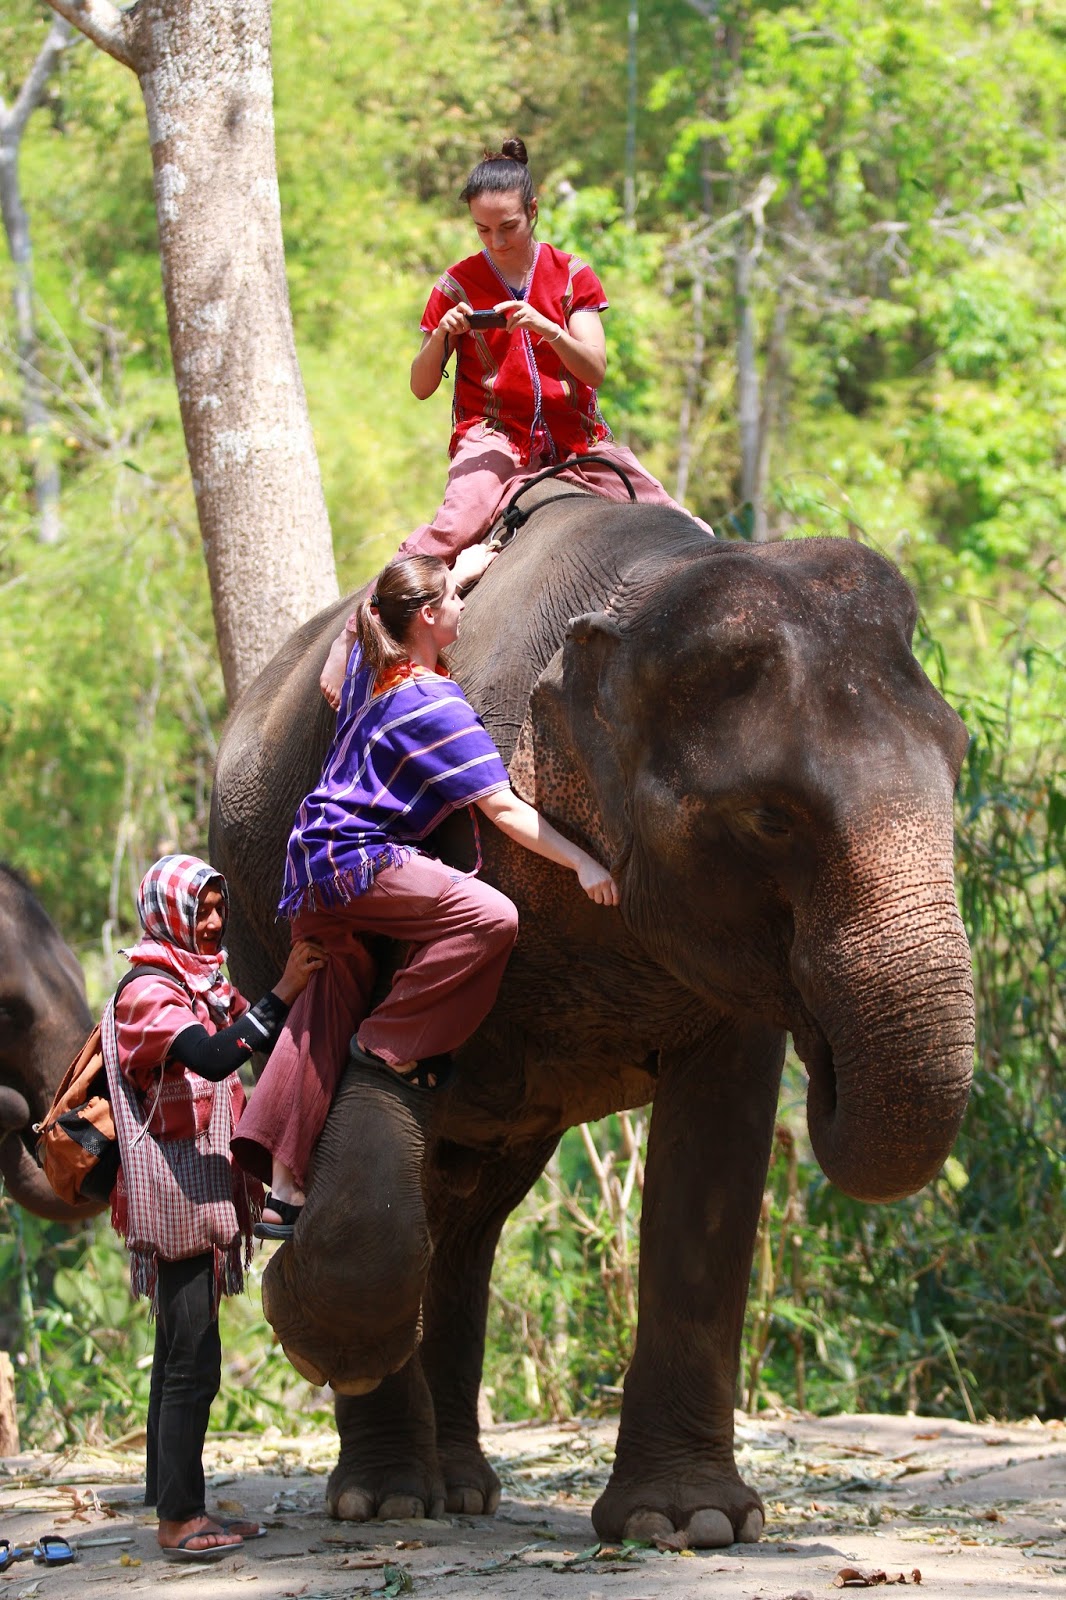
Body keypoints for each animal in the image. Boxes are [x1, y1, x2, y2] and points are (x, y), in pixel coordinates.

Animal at [209, 487, 975, 1548]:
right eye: (770, 817)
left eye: (961, 763)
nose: (825, 1056)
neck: (637, 593)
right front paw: (300, 1315)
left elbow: (714, 1161)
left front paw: (688, 1525)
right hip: (249, 910)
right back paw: (389, 1498)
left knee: (469, 1214)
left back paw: (459, 1489)